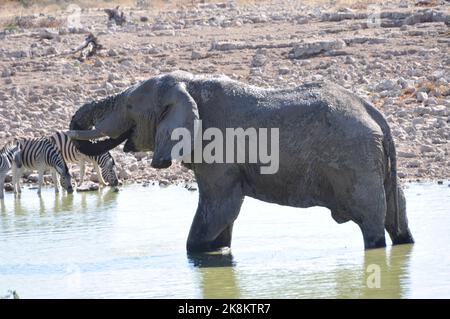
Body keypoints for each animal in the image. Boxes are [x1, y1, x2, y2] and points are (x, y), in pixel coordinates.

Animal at [67, 71, 414, 254]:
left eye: (128, 106)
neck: (189, 85)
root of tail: (374, 114)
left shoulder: (217, 149)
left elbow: (218, 208)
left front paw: (201, 255)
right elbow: (223, 217)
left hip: (356, 162)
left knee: (371, 224)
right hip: (374, 163)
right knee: (396, 215)